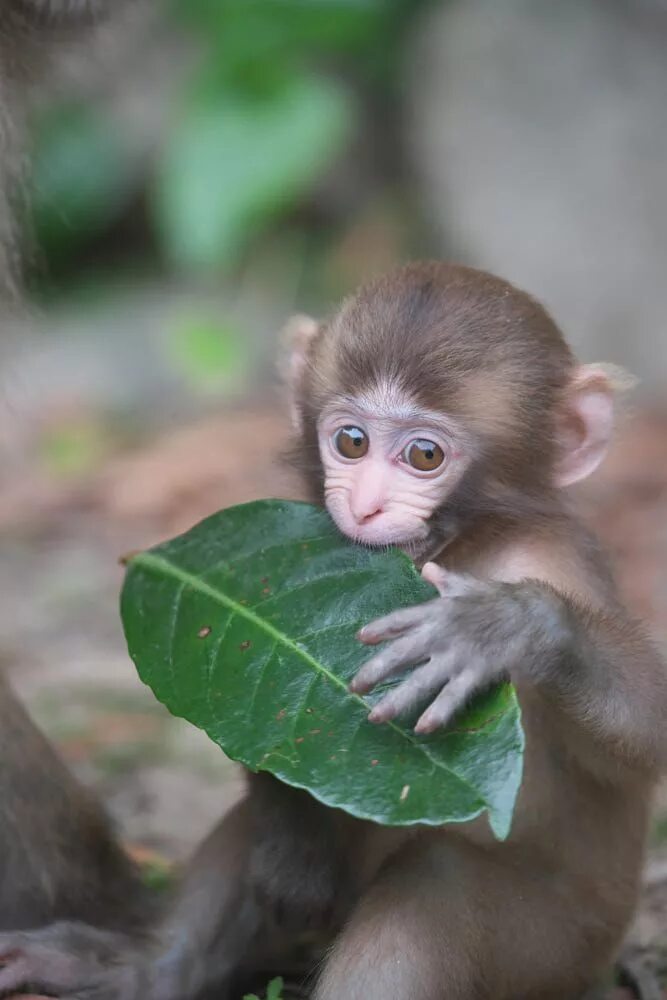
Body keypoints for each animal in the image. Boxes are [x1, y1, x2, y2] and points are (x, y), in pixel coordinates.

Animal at [1, 260, 667, 1000]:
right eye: (351, 441)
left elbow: (644, 733)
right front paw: (292, 846)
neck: (463, 546)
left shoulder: (551, 562)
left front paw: (505, 627)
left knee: (432, 890)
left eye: (425, 456)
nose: (366, 504)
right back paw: (151, 971)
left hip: (560, 950)